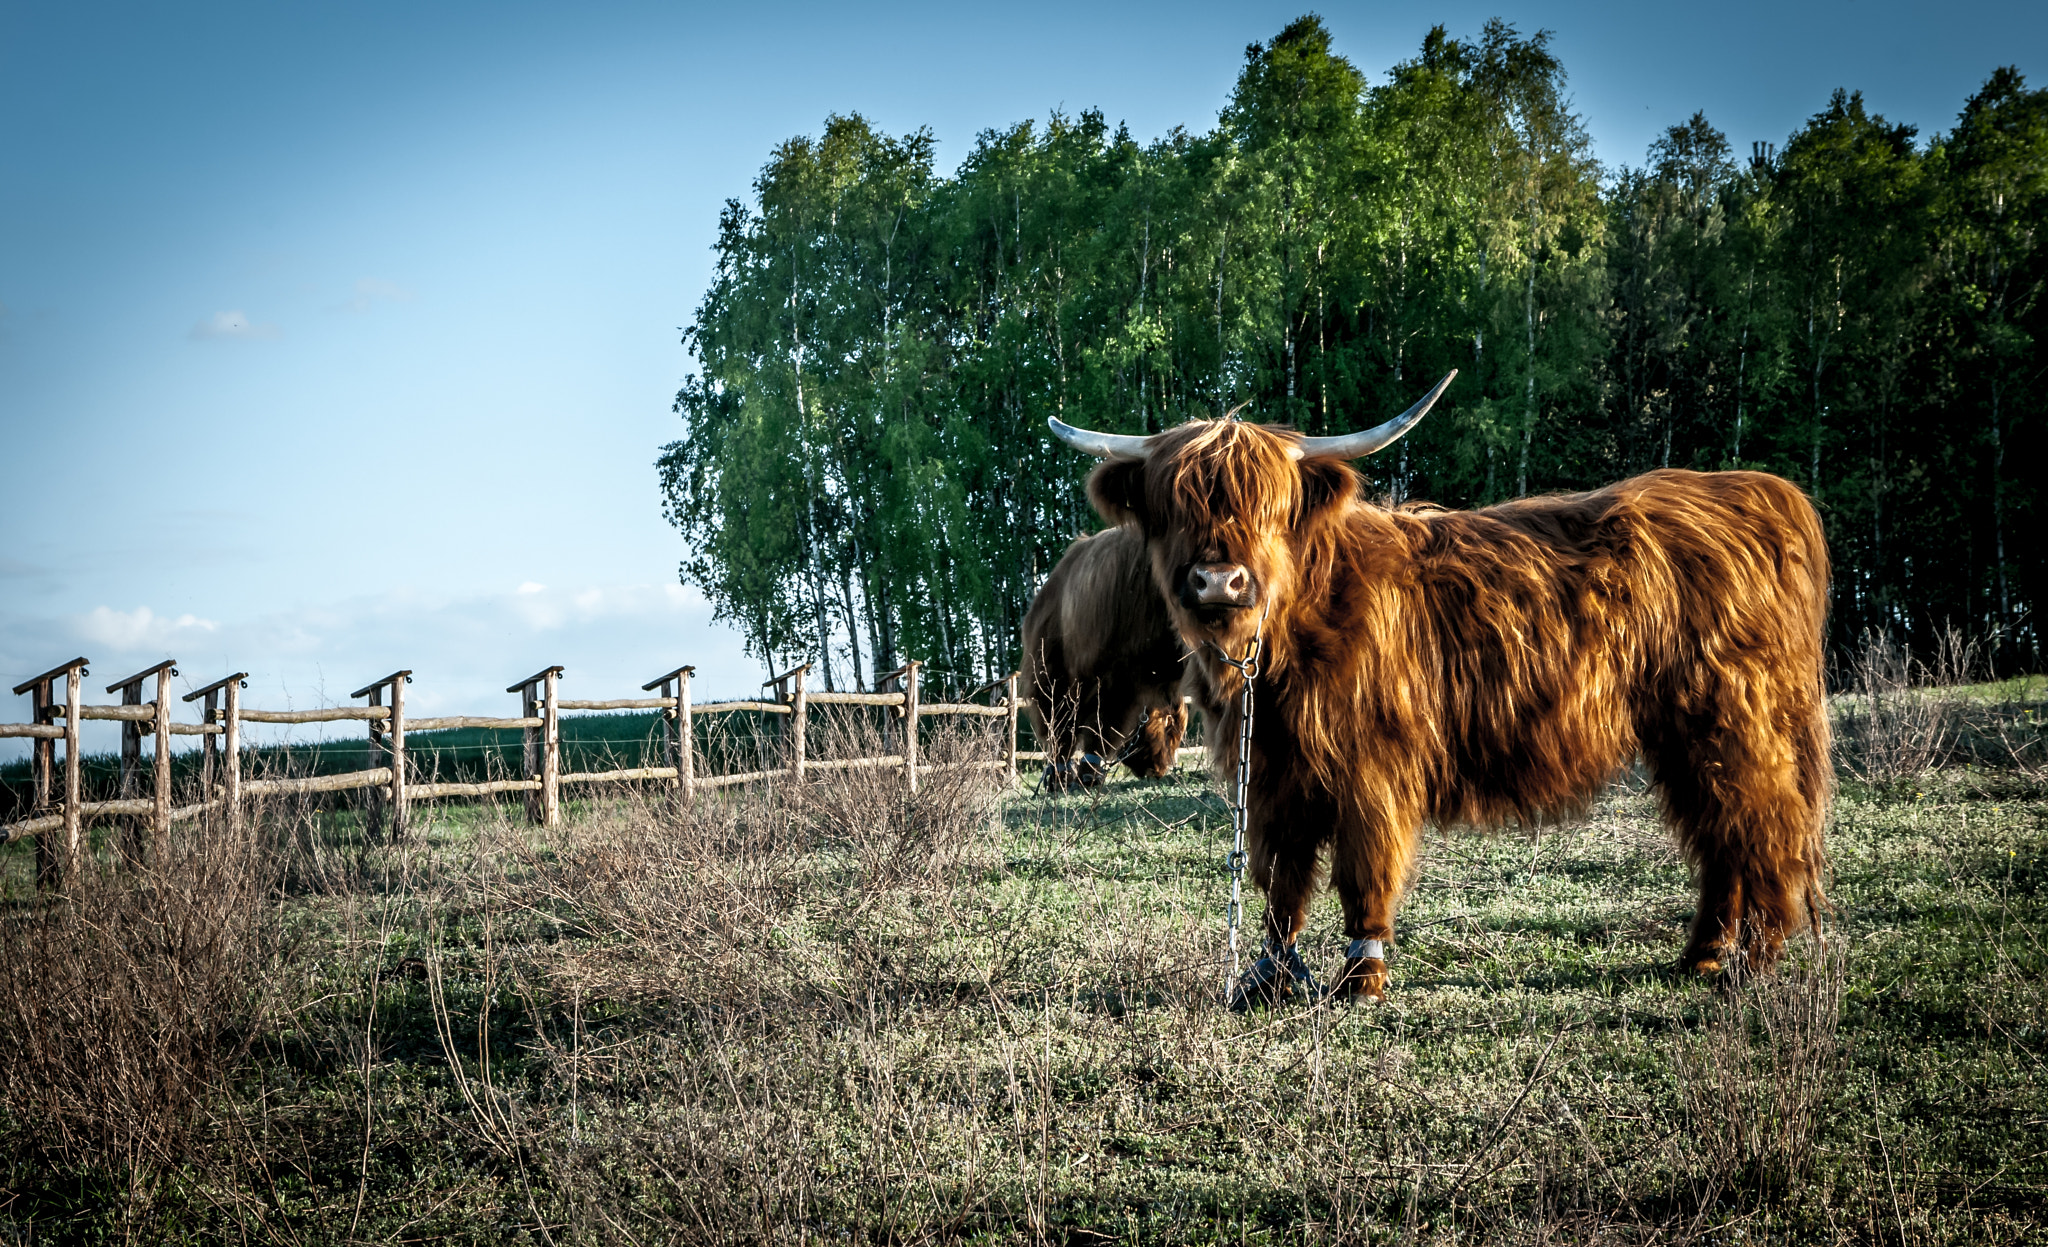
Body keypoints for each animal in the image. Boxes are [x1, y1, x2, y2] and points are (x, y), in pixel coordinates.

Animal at [1048, 366, 1835, 1003]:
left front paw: (1362, 975)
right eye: (1175, 504)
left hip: (1733, 720)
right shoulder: (1272, 770)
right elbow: (1280, 877)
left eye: (1270, 506)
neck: (1289, 640)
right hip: (1686, 736)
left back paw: (1751, 961)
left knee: (1761, 825)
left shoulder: (1372, 764)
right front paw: (1270, 976)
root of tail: (1758, 493)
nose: (1219, 581)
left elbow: (1363, 867)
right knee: (1720, 833)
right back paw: (1703, 955)